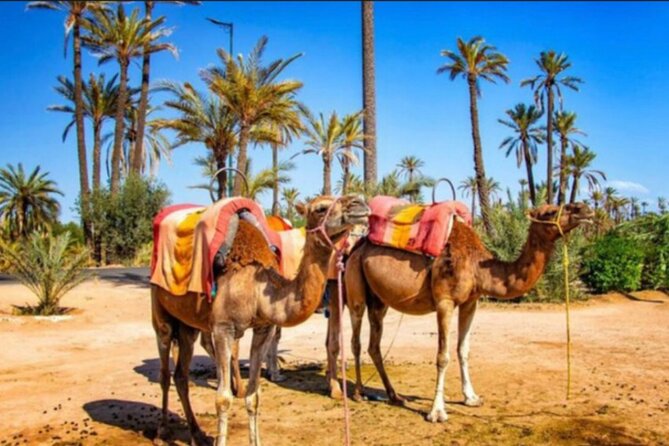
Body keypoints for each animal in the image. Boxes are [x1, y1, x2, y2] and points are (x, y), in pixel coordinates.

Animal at [151, 195, 368, 446]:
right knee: (164, 369)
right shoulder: (223, 328)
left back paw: (197, 434)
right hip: (160, 309)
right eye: (321, 208)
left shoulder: (263, 328)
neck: (256, 288)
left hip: (188, 325)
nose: (360, 203)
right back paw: (162, 432)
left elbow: (254, 396)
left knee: (181, 375)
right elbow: (223, 399)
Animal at [328, 202, 588, 422]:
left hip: (379, 299)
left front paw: (471, 398)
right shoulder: (445, 301)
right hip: (356, 287)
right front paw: (437, 412)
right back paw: (359, 393)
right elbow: (442, 356)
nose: (583, 208)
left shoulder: (470, 302)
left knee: (374, 344)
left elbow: (463, 350)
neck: (477, 266)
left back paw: (394, 395)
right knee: (355, 340)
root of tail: (355, 247)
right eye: (550, 212)